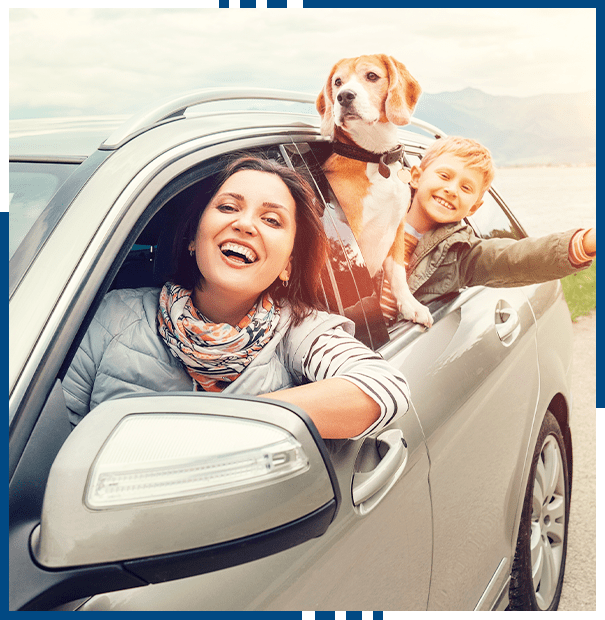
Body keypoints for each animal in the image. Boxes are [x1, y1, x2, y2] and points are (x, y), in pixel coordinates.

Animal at [316, 55, 430, 326]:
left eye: (371, 76)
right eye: (338, 82)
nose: (344, 96)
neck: (376, 158)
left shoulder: (397, 227)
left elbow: (397, 274)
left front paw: (411, 305)